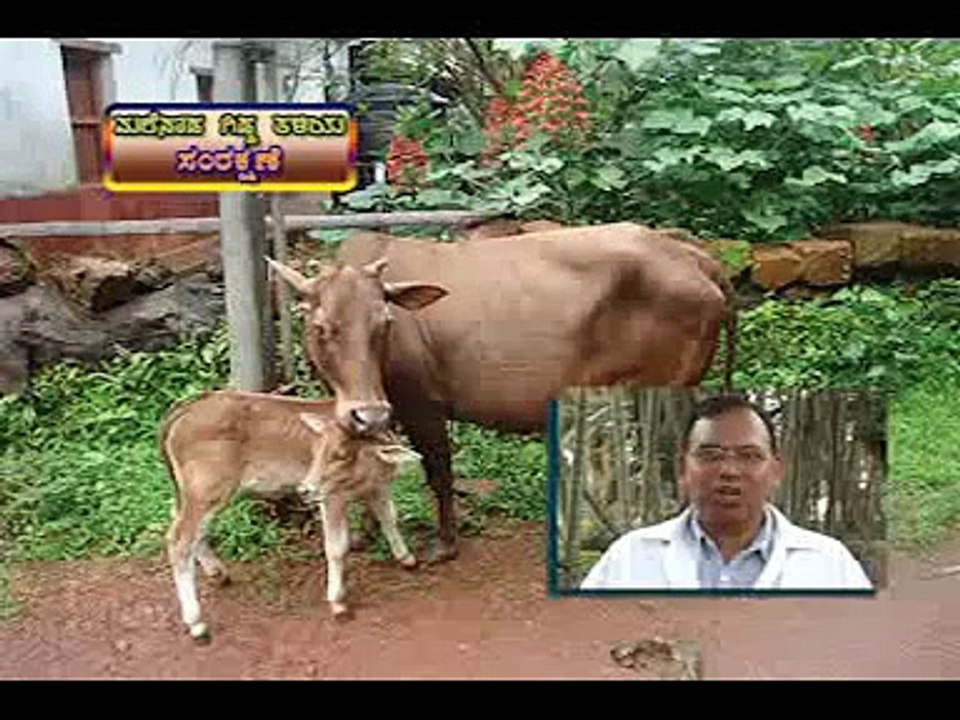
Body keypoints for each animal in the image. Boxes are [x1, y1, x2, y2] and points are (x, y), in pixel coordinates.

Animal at [161, 390, 423, 642]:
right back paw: (197, 623)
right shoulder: (332, 497)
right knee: (180, 540)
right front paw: (337, 601)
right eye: (318, 451)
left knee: (186, 525)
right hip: (207, 491)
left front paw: (406, 558)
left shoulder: (378, 488)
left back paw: (217, 572)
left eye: (342, 455)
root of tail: (186, 408)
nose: (305, 489)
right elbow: (337, 546)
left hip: (197, 493)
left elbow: (389, 518)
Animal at [270, 222, 737, 563]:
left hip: (669, 383)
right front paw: (366, 537)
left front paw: (445, 545)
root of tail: (692, 255)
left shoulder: (422, 404)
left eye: (384, 324)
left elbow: (438, 471)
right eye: (322, 327)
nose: (368, 412)